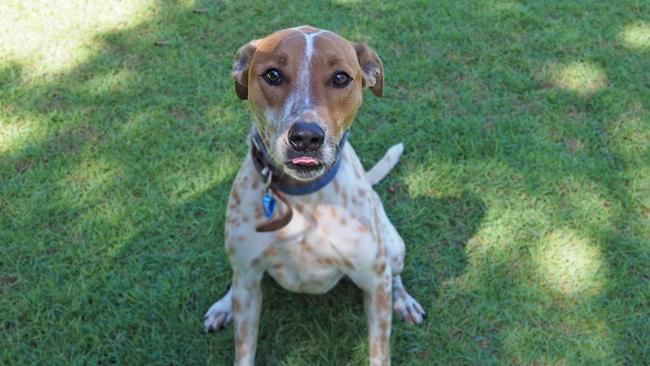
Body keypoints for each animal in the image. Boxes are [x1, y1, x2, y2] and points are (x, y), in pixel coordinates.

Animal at [204, 26, 426, 366]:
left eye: (340, 78)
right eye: (272, 75)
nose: (306, 137)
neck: (302, 200)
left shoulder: (374, 281)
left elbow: (380, 349)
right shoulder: (248, 281)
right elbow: (244, 350)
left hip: (393, 248)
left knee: (395, 274)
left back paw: (404, 300)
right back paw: (223, 306)